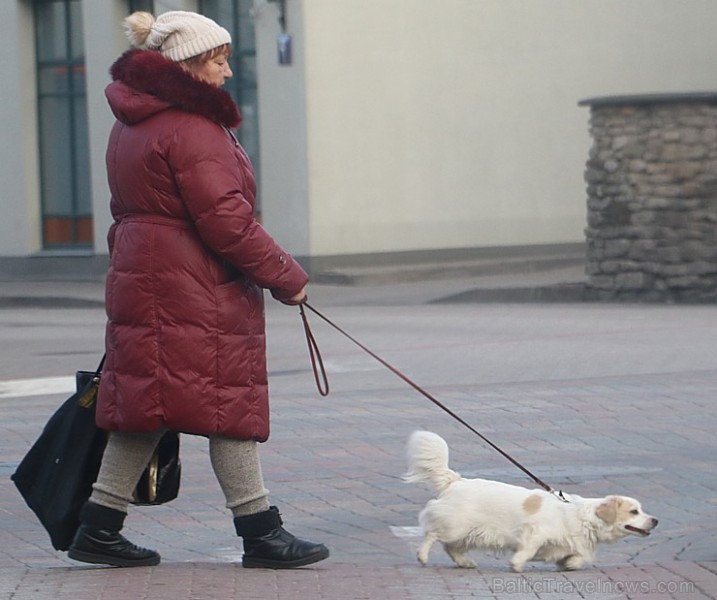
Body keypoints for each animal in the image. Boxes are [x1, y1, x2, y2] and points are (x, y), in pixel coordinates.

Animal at [402, 432, 656, 572]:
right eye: (634, 511)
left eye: (640, 510)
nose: (655, 520)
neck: (582, 517)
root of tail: (454, 481)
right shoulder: (535, 532)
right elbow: (528, 549)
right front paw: (517, 564)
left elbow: (577, 558)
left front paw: (569, 564)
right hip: (455, 525)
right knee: (433, 535)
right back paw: (422, 556)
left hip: (467, 534)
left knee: (451, 548)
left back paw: (464, 562)